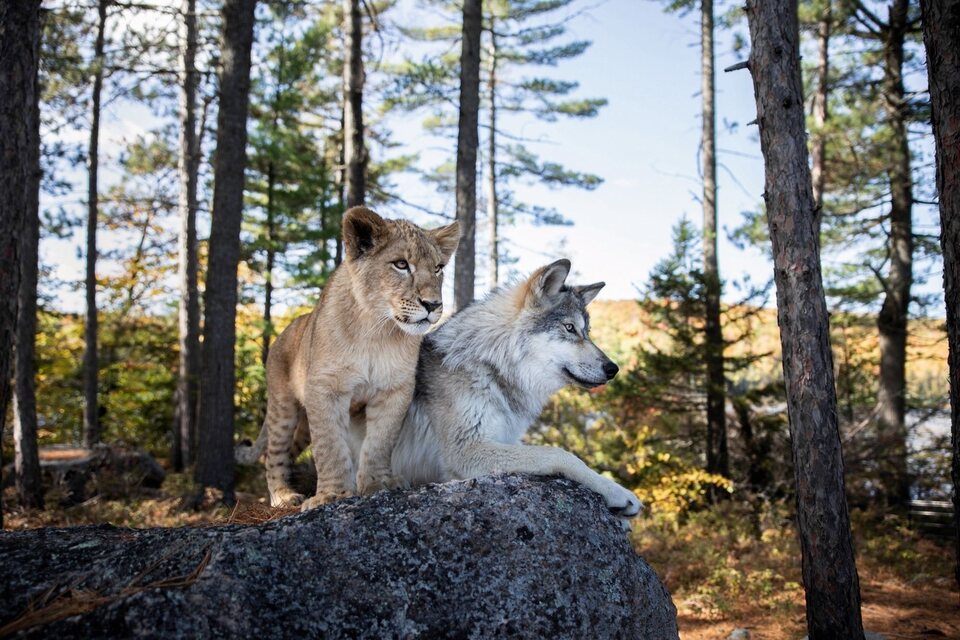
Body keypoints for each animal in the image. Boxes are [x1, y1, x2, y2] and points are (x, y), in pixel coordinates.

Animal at [242, 208, 464, 512]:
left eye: (438, 268)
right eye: (401, 264)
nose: (433, 305)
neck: (377, 332)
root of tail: (285, 330)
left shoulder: (395, 389)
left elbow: (380, 441)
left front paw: (379, 484)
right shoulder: (325, 389)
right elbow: (330, 447)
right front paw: (332, 496)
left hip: (304, 422)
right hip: (283, 406)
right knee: (274, 451)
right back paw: (283, 496)